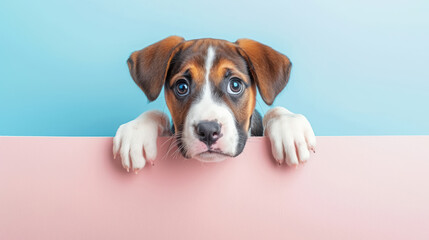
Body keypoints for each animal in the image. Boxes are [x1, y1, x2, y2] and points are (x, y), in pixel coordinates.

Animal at [113, 36, 314, 172]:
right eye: (182, 87)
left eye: (235, 85)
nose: (208, 131)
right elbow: (156, 114)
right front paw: (135, 132)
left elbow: (274, 111)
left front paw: (289, 128)